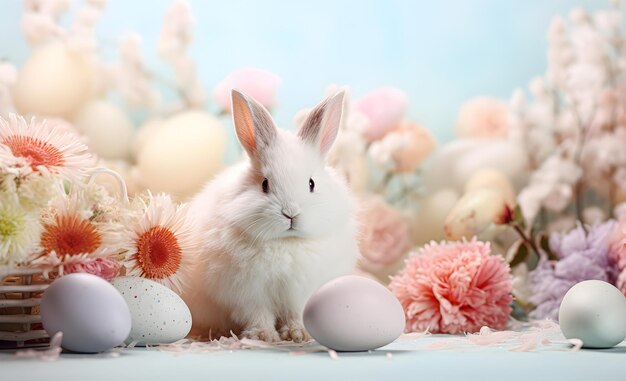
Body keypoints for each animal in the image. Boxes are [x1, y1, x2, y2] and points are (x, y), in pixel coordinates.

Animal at [183, 89, 358, 342]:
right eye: (264, 184)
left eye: (311, 183)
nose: (290, 213)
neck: (285, 242)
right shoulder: (248, 293)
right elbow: (258, 314)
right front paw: (263, 336)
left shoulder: (299, 291)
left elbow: (296, 313)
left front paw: (298, 334)